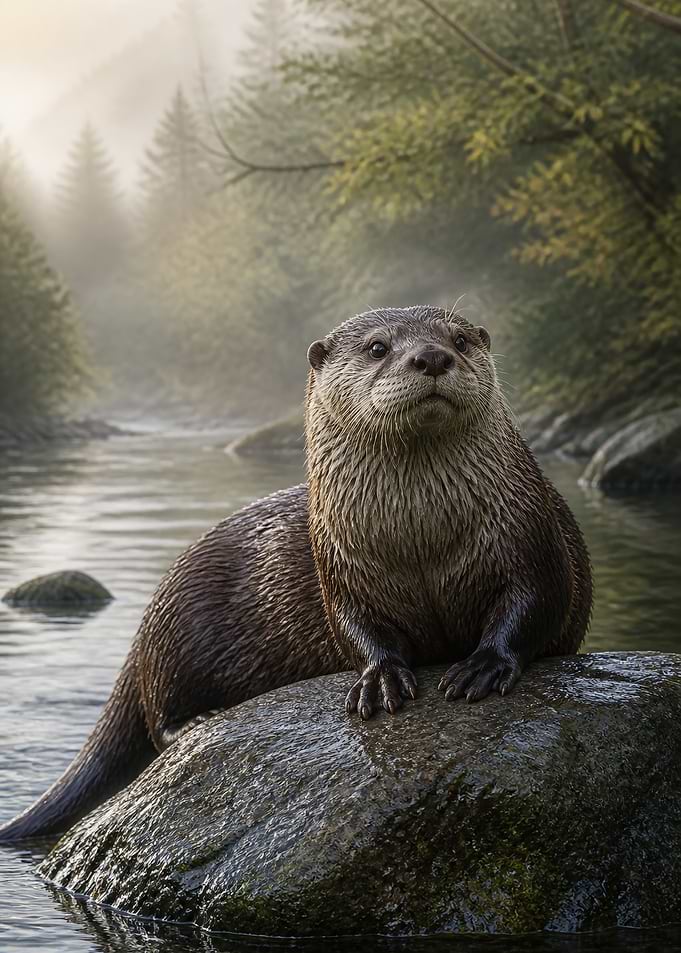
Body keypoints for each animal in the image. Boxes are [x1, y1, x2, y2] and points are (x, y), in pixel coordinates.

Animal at [0, 306, 592, 842]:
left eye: (460, 340)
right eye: (377, 347)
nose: (432, 357)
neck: (422, 540)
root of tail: (146, 623)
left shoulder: (530, 536)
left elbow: (538, 601)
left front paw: (482, 667)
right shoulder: (340, 570)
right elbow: (354, 627)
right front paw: (380, 678)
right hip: (180, 629)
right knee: (157, 716)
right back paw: (195, 723)